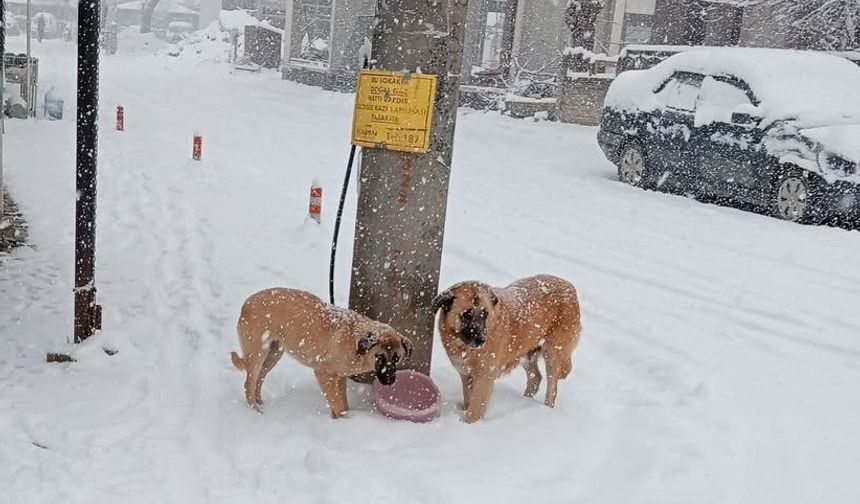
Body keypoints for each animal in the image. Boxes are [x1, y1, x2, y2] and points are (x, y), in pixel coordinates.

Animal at [232, 288, 414, 418]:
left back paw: (260, 403)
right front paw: (343, 421)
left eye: (397, 358)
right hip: (258, 354)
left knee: (258, 381)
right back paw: (256, 411)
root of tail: (246, 303)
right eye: (379, 357)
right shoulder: (323, 372)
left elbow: (343, 403)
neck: (356, 343)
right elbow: (338, 405)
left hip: (273, 355)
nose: (390, 381)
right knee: (249, 383)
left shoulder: (339, 377)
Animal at [434, 274, 580, 424]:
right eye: (466, 314)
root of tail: (569, 286)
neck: (464, 348)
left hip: (553, 354)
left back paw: (545, 409)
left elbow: (474, 411)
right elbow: (468, 400)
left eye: (485, 314)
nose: (481, 340)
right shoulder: (466, 375)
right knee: (535, 378)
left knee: (552, 388)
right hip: (524, 353)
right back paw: (525, 400)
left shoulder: (484, 379)